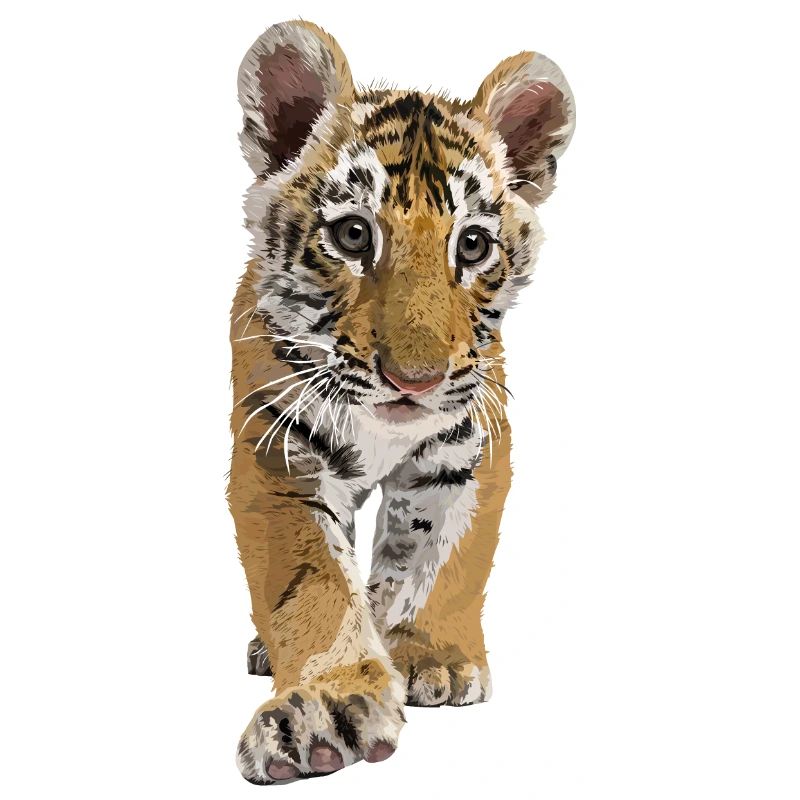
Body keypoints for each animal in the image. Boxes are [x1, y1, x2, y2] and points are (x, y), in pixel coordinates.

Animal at [229, 19, 575, 785]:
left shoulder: (470, 447)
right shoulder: (278, 454)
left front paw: (431, 656)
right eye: (354, 234)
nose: (414, 380)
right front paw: (325, 708)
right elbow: (315, 583)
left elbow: (443, 558)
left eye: (472, 245)